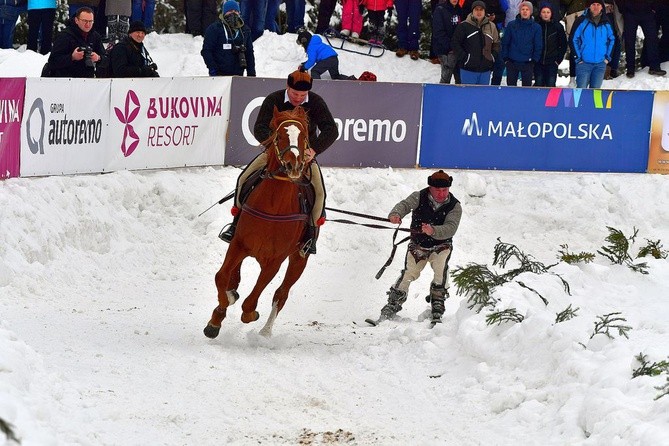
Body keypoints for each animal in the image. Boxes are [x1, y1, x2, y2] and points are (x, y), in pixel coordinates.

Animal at [205, 105, 312, 338]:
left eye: (304, 137)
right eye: (279, 136)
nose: (293, 165)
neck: (273, 205)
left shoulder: (275, 260)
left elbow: (252, 299)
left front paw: (249, 314)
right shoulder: (238, 244)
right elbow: (221, 277)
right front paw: (217, 317)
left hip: (299, 259)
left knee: (281, 294)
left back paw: (265, 332)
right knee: (234, 278)